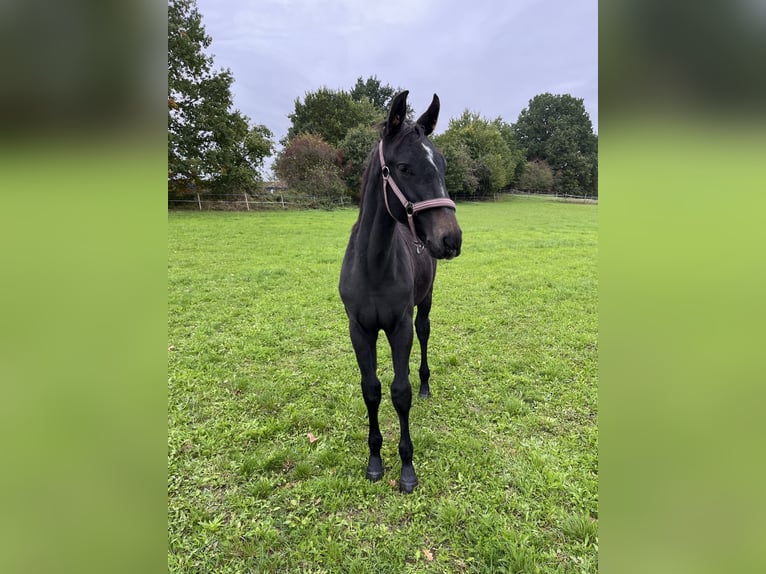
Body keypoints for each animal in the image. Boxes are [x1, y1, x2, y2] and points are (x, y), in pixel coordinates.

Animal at [338, 91, 462, 493]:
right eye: (405, 167)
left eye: (441, 165)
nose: (451, 239)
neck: (374, 264)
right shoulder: (359, 330)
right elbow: (372, 389)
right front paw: (375, 461)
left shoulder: (400, 327)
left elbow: (400, 392)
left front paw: (407, 467)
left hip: (425, 302)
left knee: (425, 334)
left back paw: (426, 385)